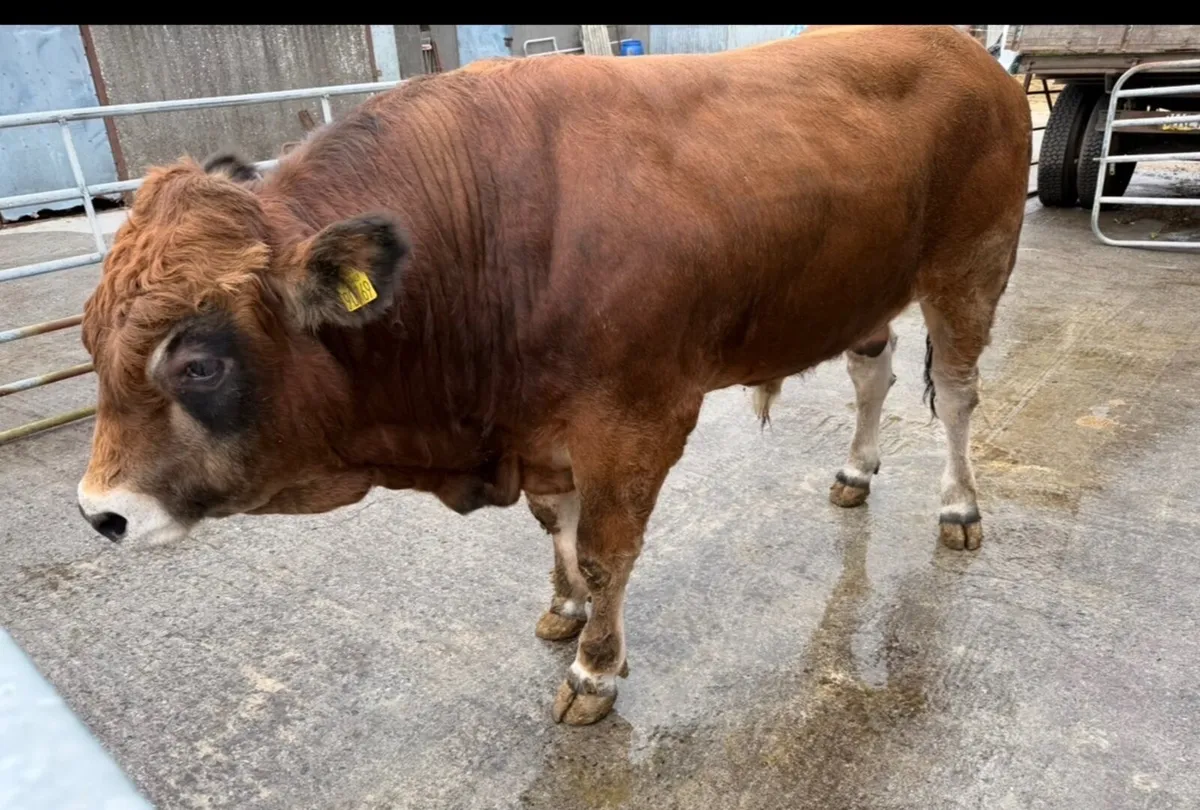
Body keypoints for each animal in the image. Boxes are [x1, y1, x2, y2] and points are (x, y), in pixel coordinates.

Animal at [75, 25, 1032, 726]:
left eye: (197, 361)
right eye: (89, 341)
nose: (99, 513)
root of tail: (963, 48)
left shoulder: (636, 418)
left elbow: (609, 551)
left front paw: (594, 670)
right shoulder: (545, 425)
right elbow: (558, 528)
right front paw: (564, 608)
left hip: (970, 269)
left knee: (960, 397)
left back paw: (959, 506)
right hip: (862, 290)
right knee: (874, 374)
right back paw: (856, 469)